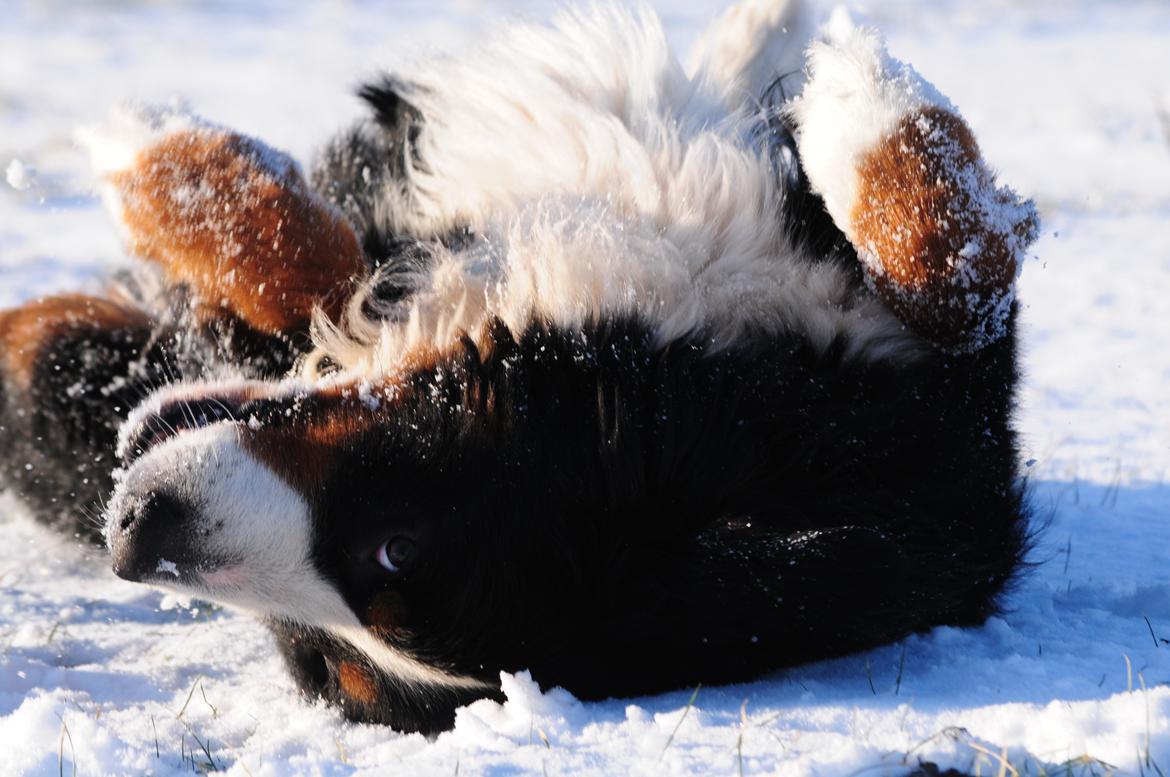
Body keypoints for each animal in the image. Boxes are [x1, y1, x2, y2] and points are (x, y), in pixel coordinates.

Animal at [2, 0, 1043, 730]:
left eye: (395, 552)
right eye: (313, 656)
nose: (135, 533)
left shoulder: (933, 436)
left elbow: (962, 287)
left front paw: (861, 94)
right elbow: (304, 256)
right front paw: (151, 144)